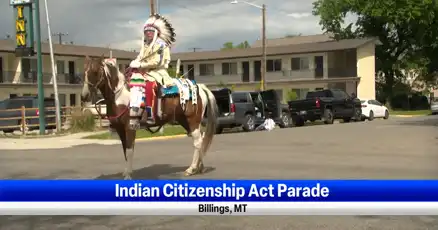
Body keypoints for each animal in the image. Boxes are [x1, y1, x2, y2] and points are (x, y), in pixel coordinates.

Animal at [79, 56, 218, 180]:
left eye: (95, 72)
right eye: (84, 72)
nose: (84, 96)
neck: (120, 96)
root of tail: (200, 87)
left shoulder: (130, 128)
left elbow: (129, 150)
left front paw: (128, 175)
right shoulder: (119, 129)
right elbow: (125, 150)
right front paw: (126, 172)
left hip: (192, 120)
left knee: (198, 141)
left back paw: (192, 168)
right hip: (185, 121)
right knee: (201, 140)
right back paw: (199, 167)